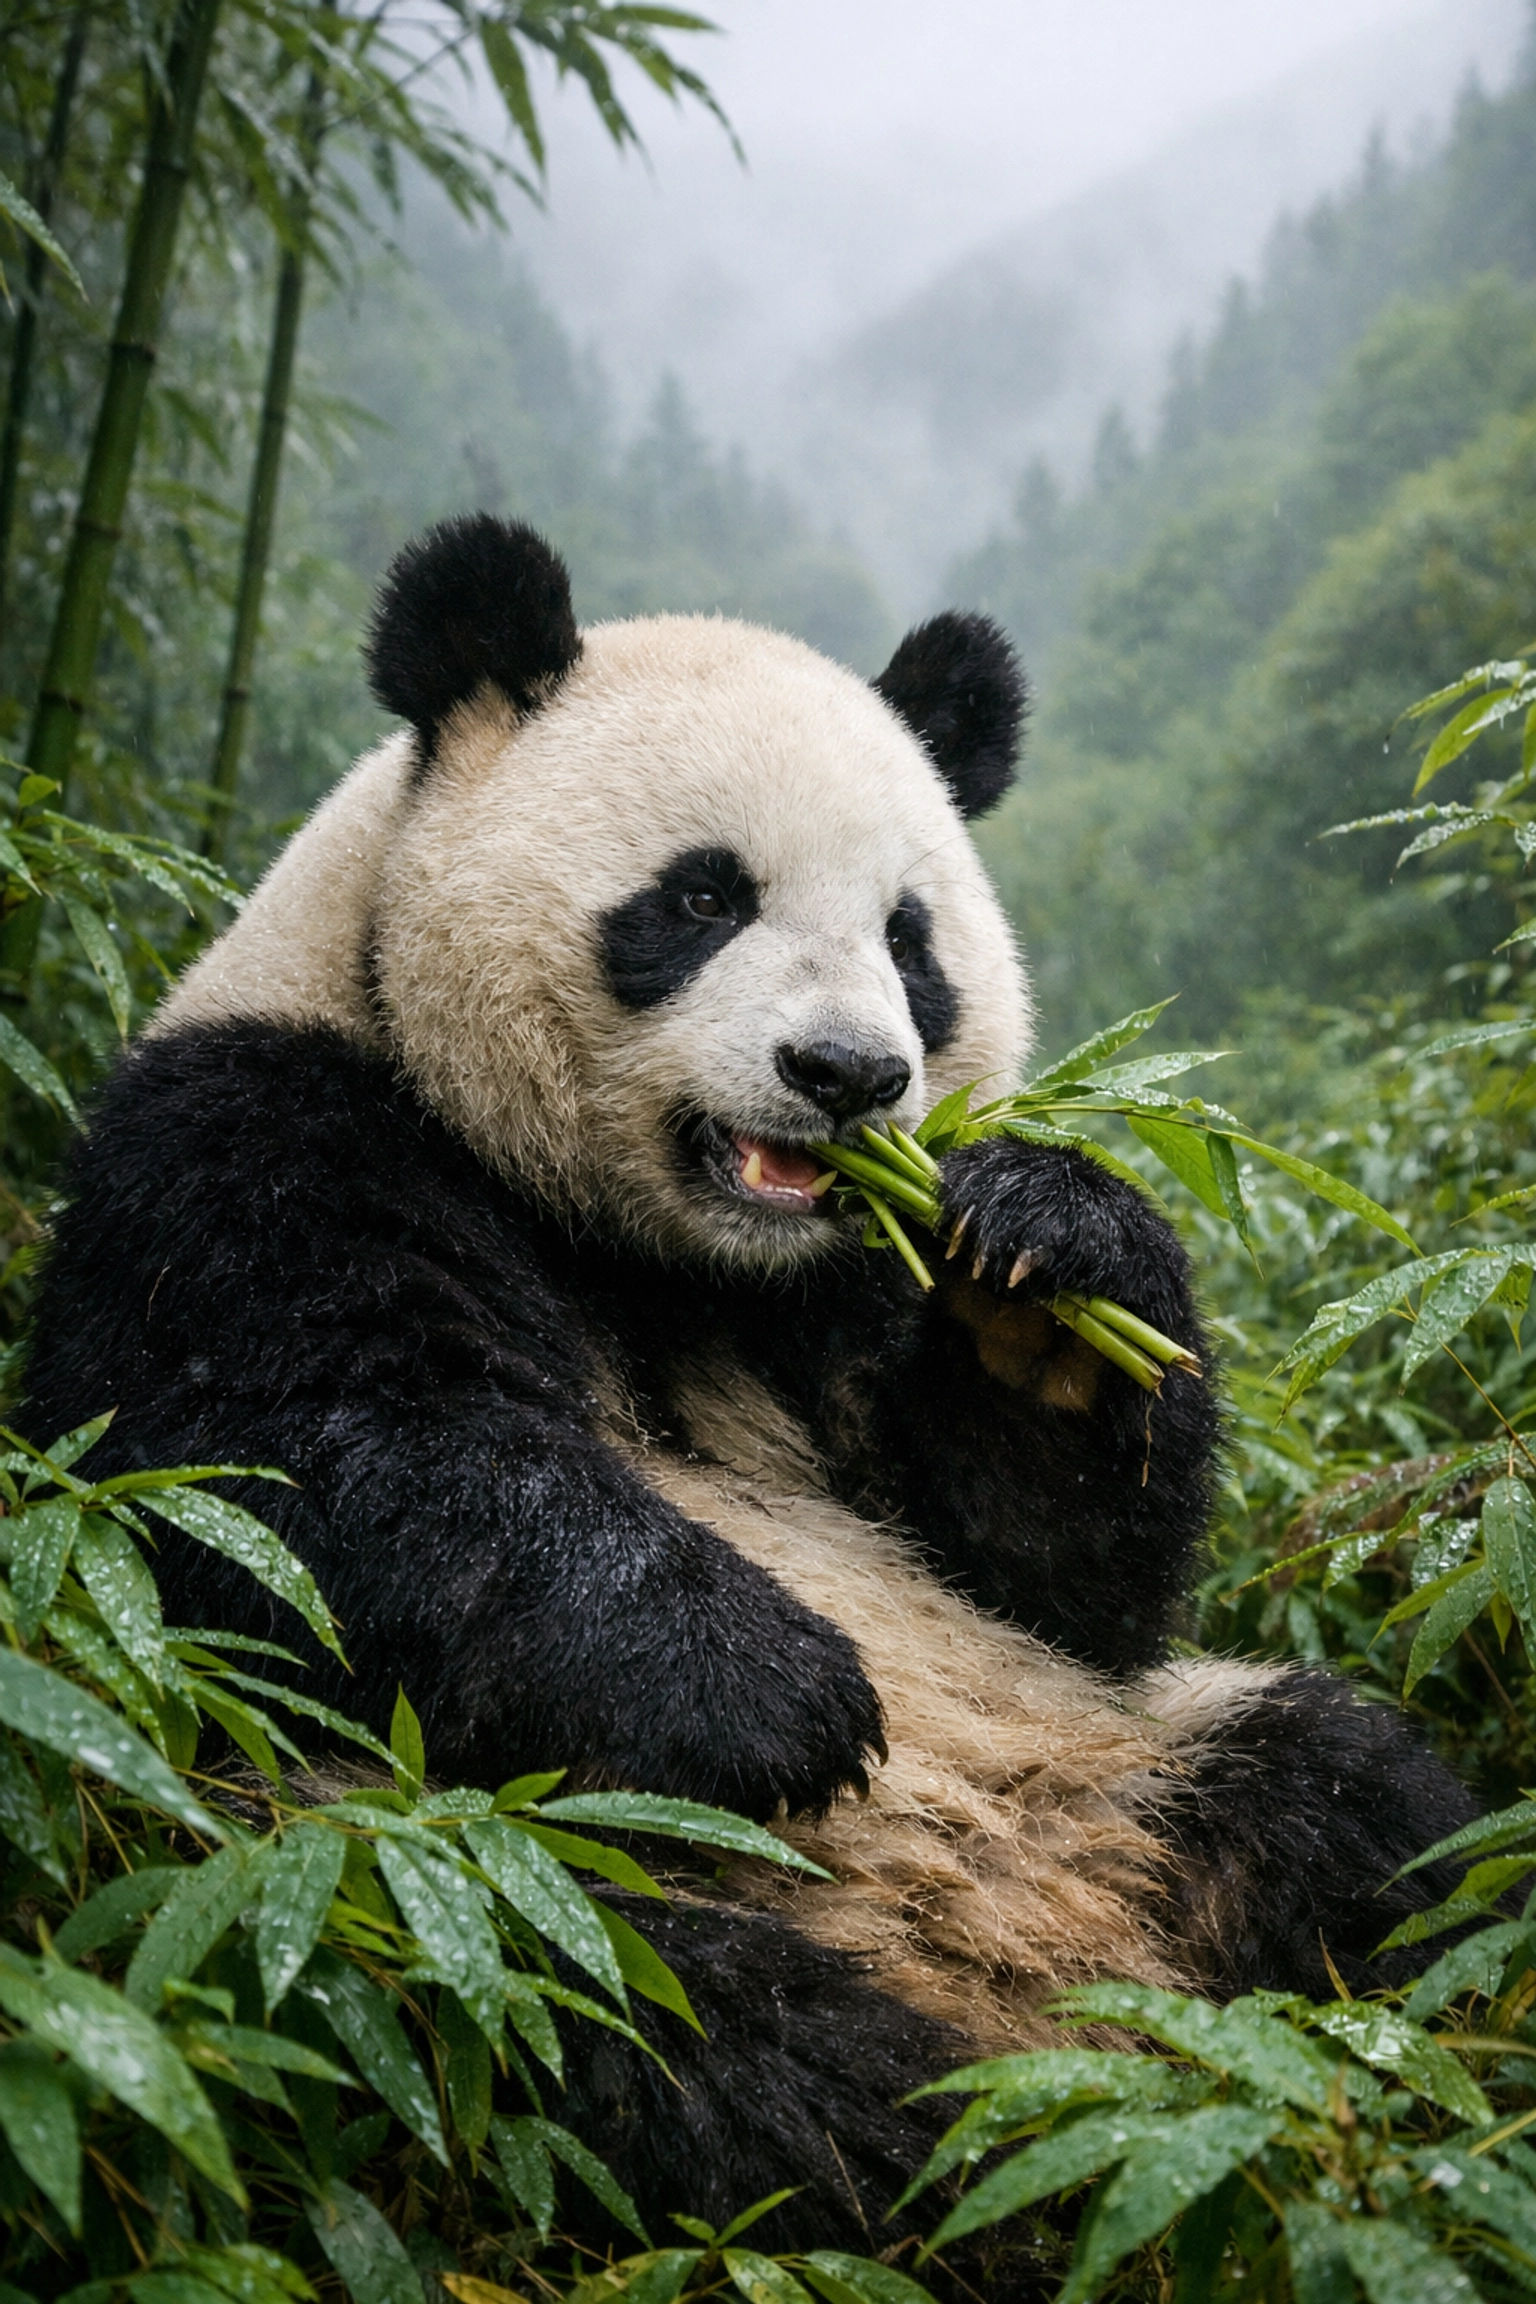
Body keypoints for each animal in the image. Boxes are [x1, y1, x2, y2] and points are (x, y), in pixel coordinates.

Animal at [24, 515, 1475, 2256]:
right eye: (705, 895)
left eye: (911, 942)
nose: (848, 1077)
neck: (672, 1256)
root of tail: (1062, 1983)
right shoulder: (257, 1142)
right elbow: (295, 1473)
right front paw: (781, 1692)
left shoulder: (851, 1289)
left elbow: (1058, 1578)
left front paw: (1050, 1269)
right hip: (440, 1868)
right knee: (669, 2041)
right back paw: (992, 2164)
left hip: (1137, 1756)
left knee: (1366, 1805)